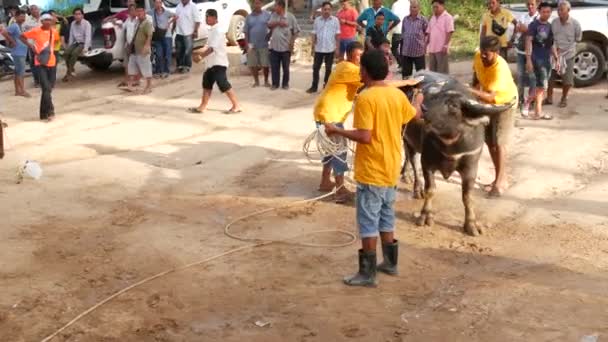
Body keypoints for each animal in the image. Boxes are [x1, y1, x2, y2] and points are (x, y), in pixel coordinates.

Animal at [402, 71, 516, 236]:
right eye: (435, 98)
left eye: (453, 105)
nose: (423, 109)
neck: (451, 143)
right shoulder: (427, 162)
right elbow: (430, 189)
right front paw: (425, 216)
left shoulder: (471, 166)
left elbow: (467, 196)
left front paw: (471, 224)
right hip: (407, 139)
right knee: (411, 160)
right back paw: (415, 186)